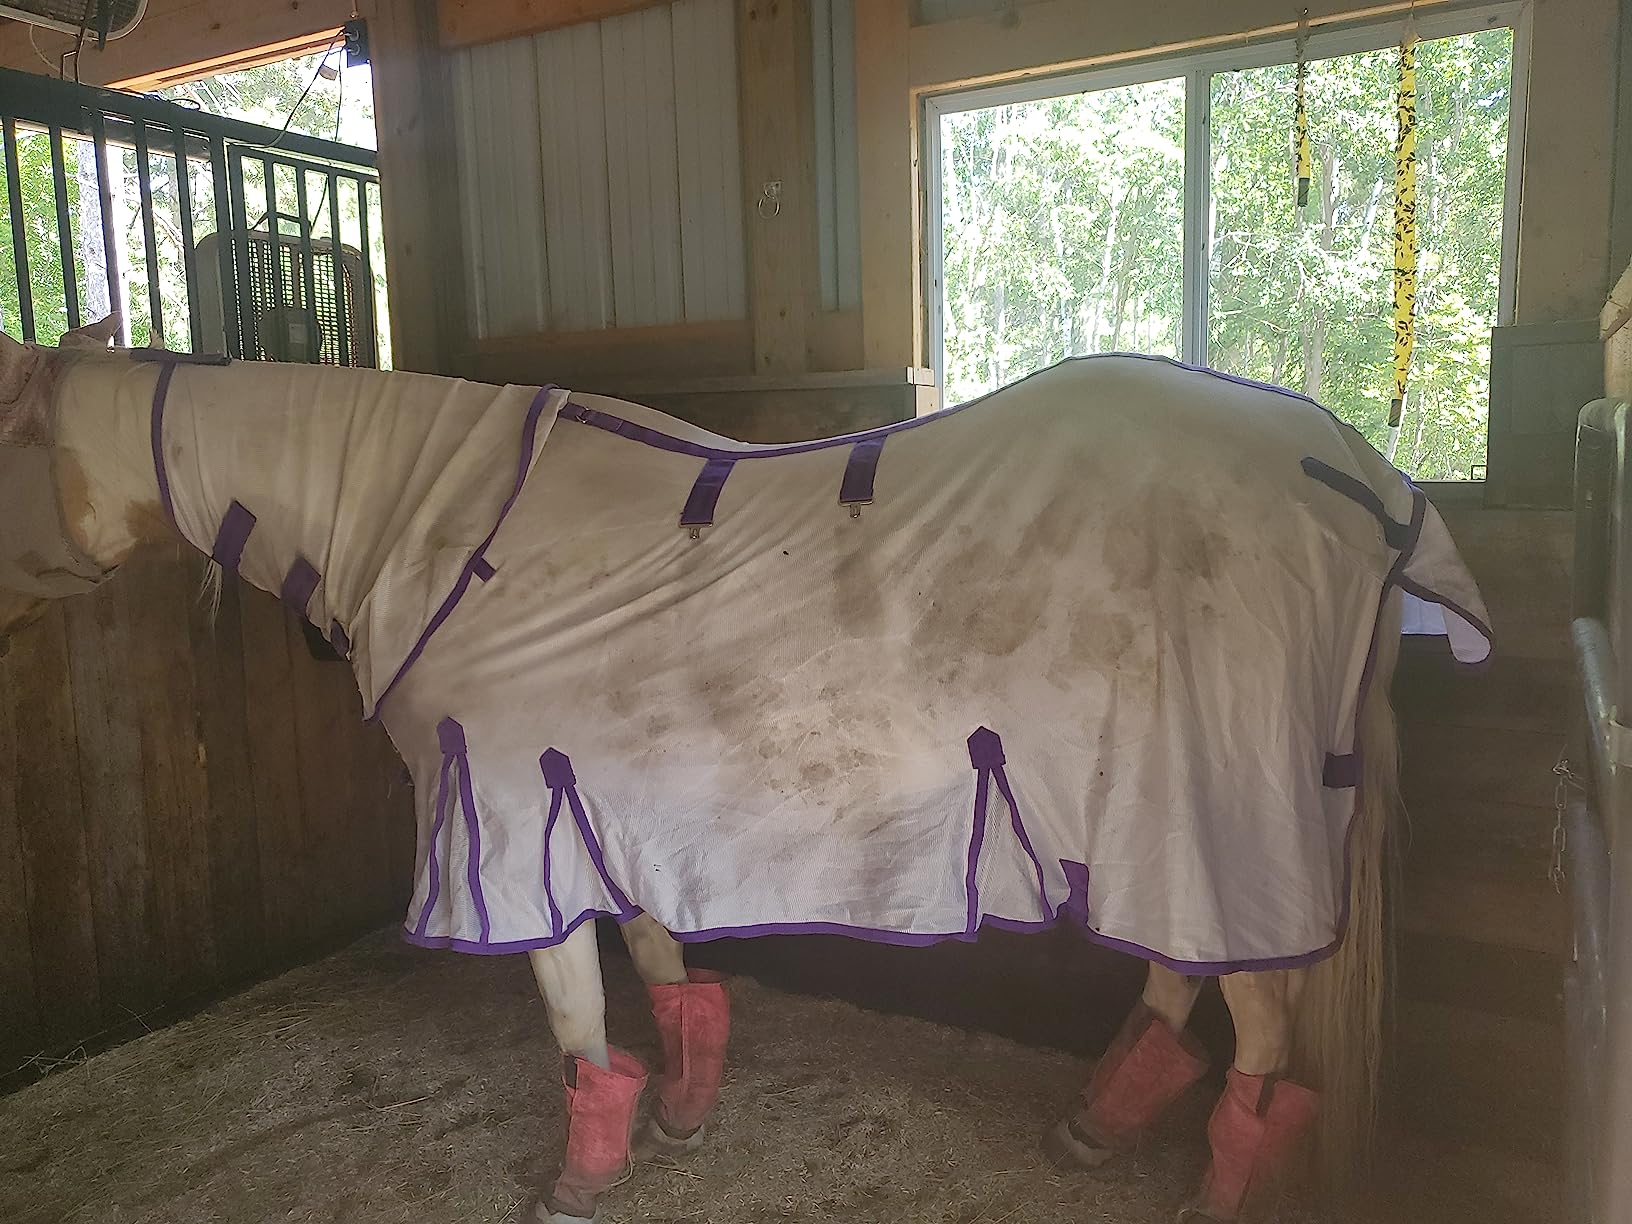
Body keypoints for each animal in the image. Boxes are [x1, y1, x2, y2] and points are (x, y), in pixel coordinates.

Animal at [0, 320, 1491, 1223]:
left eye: (1, 436)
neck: (437, 520)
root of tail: (1364, 479)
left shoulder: (505, 813)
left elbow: (572, 1010)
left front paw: (581, 1175)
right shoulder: (595, 789)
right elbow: (663, 967)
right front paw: (679, 1112)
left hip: (1212, 808)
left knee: (1262, 1029)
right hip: (1159, 815)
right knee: (1183, 973)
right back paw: (1096, 1125)